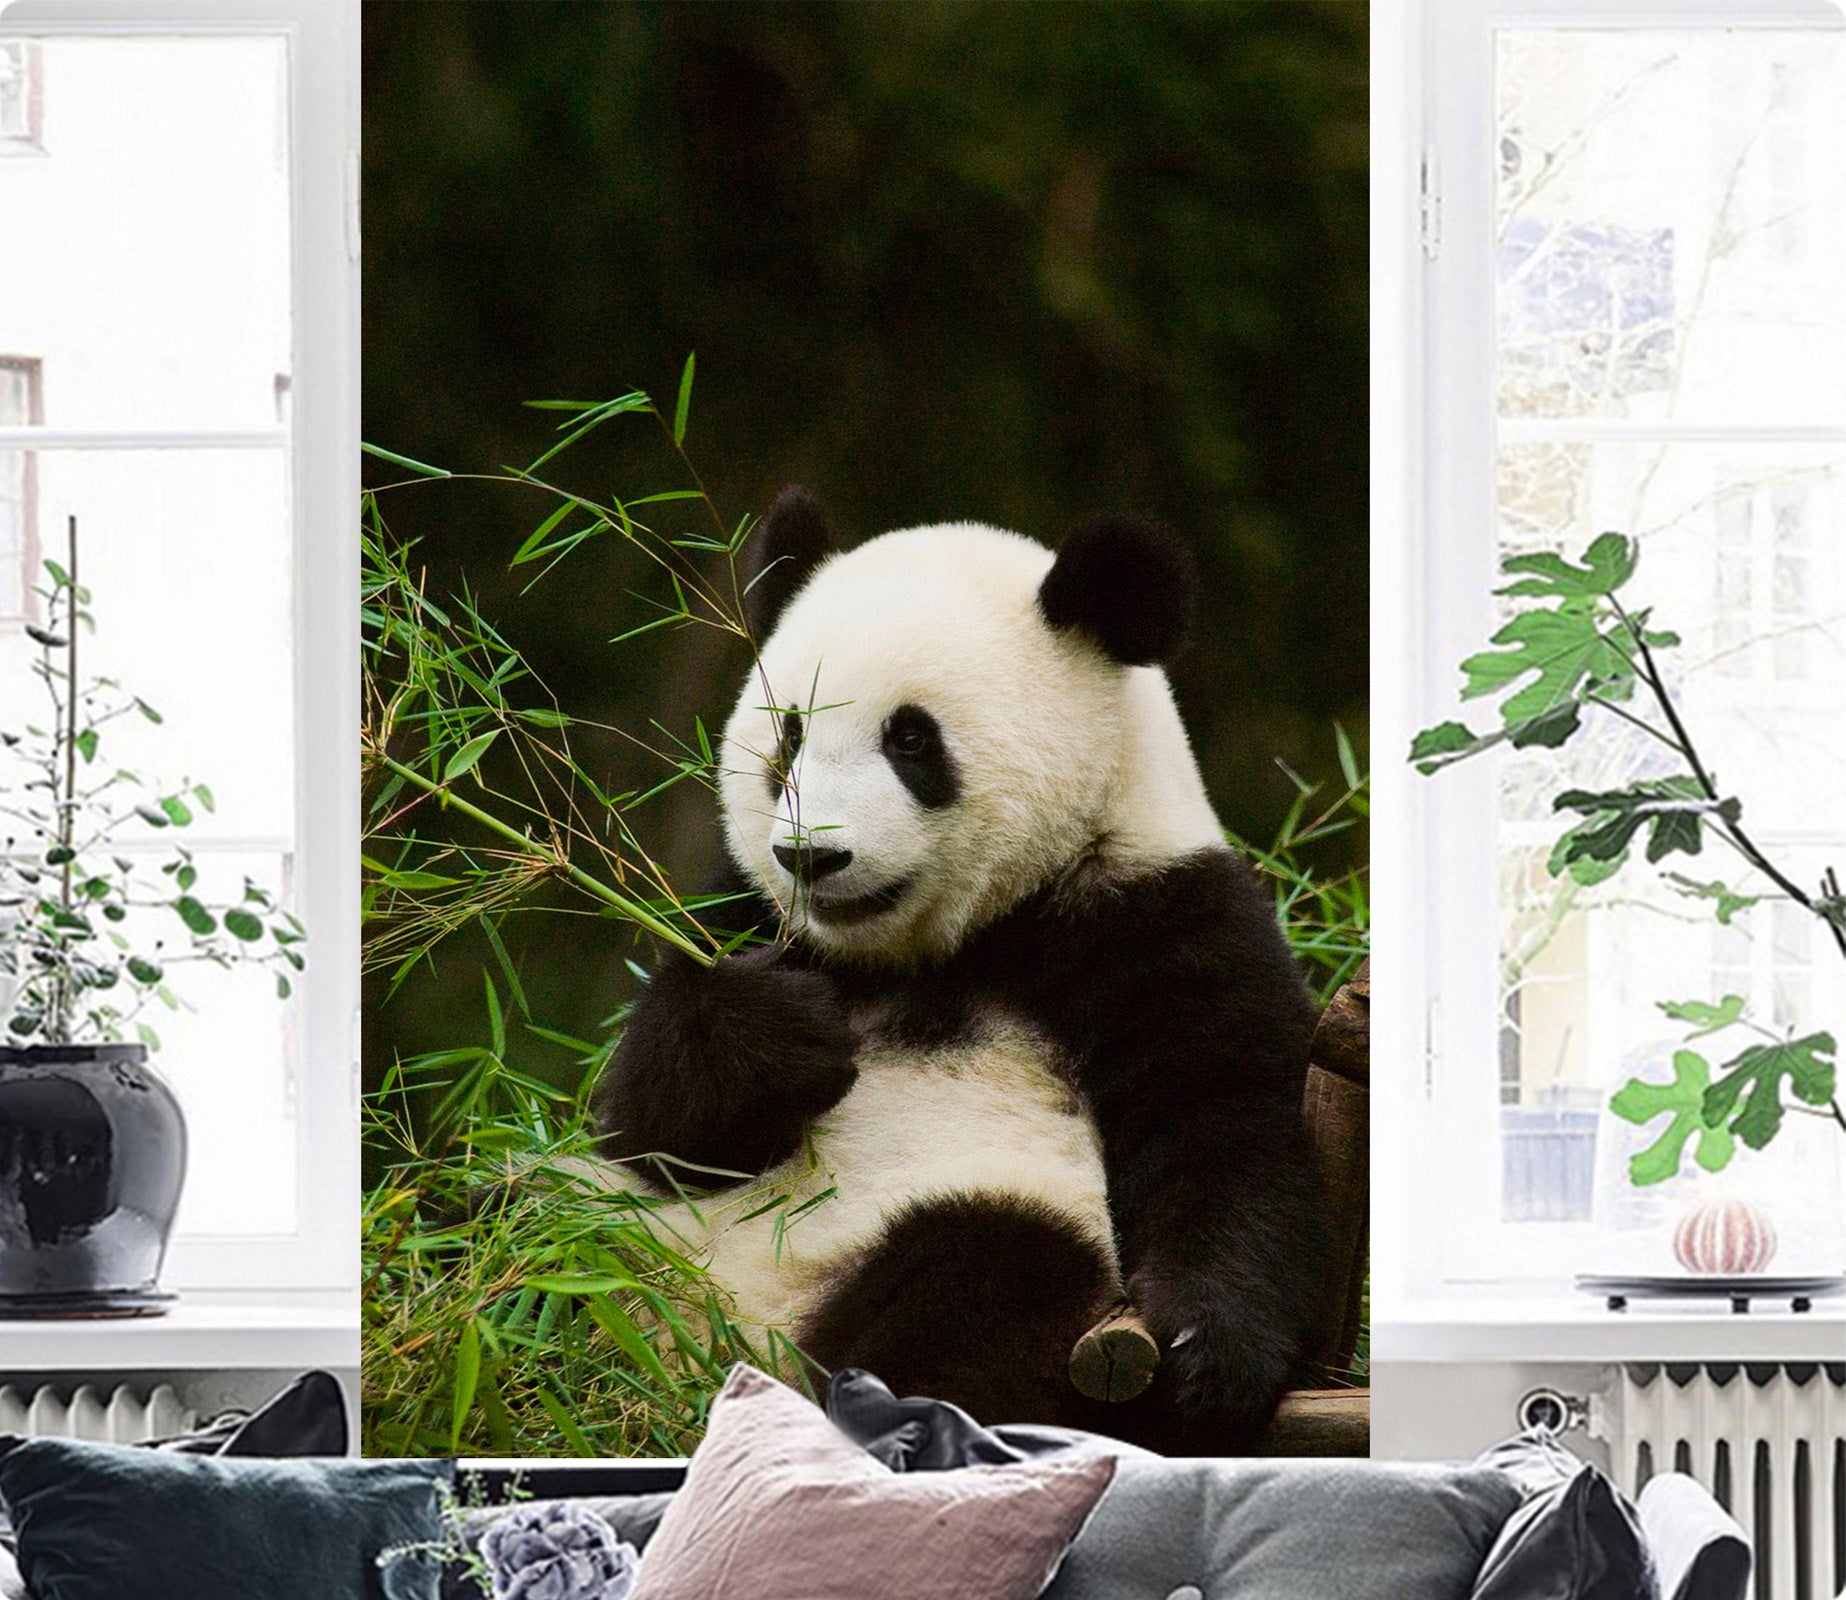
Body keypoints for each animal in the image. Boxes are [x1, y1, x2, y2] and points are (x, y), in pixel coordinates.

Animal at [592, 485, 1329, 1453]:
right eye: (789, 738)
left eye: (911, 740)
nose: (811, 858)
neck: (935, 950)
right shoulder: (739, 909)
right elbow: (650, 1125)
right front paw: (778, 1032)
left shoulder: (1156, 914)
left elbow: (1225, 1122)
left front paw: (1207, 1354)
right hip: (610, 1241)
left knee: (980, 1277)